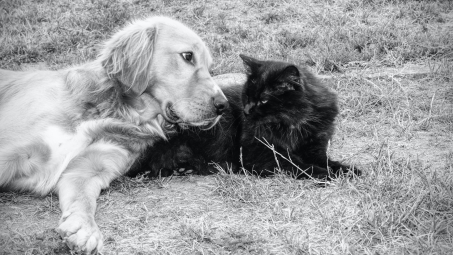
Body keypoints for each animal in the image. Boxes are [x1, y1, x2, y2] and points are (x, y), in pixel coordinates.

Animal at [0, 15, 226, 253]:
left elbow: (84, 201)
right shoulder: (12, 151)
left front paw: (84, 229)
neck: (115, 113)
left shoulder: (87, 170)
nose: (223, 105)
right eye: (187, 56)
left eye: (210, 67)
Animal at [128, 55, 360, 180]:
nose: (246, 111)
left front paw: (347, 170)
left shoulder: (314, 148)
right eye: (247, 96)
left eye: (264, 100)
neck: (292, 123)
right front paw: (326, 174)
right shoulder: (261, 153)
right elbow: (299, 165)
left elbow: (329, 162)